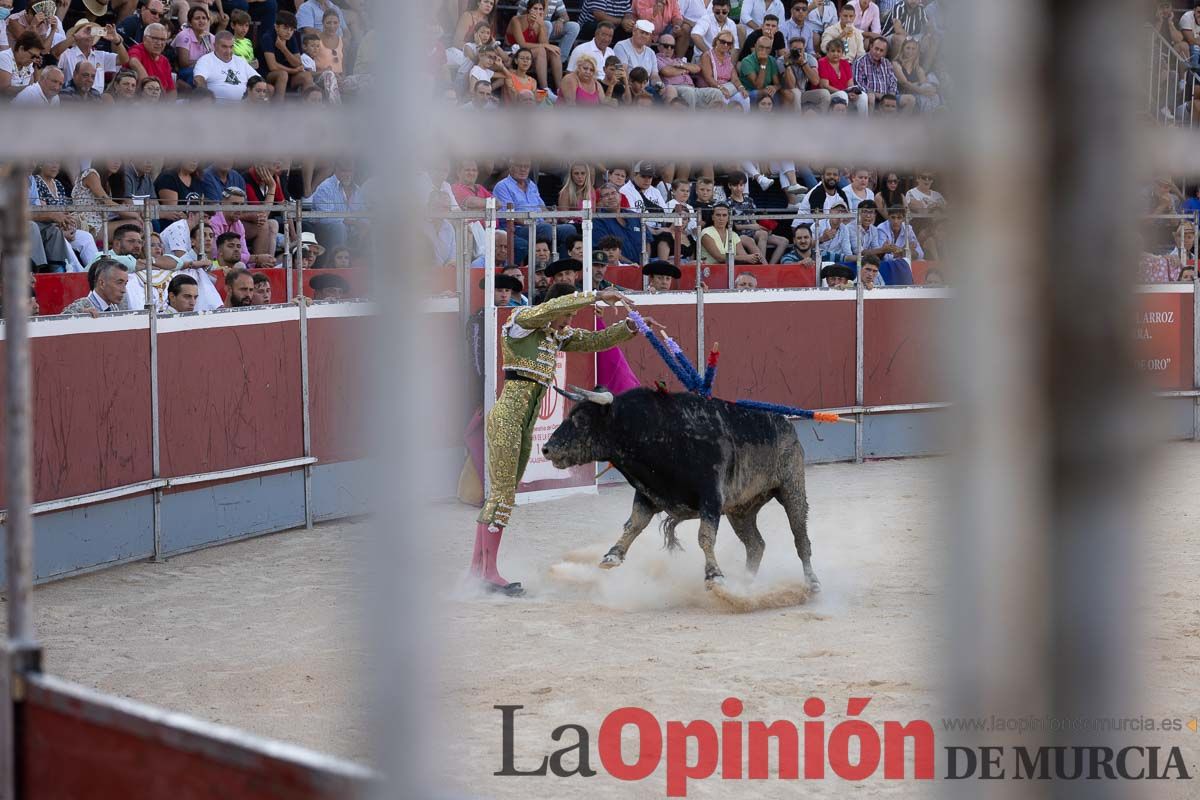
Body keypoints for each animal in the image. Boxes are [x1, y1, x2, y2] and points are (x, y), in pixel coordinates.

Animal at [542, 388, 816, 587]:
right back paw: (747, 583)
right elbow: (634, 524)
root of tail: (786, 423)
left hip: (792, 488)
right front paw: (612, 555)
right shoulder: (648, 494)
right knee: (756, 544)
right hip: (741, 509)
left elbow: (705, 536)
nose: (546, 448)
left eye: (581, 419)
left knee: (800, 537)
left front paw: (714, 575)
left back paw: (811, 583)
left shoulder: (711, 499)